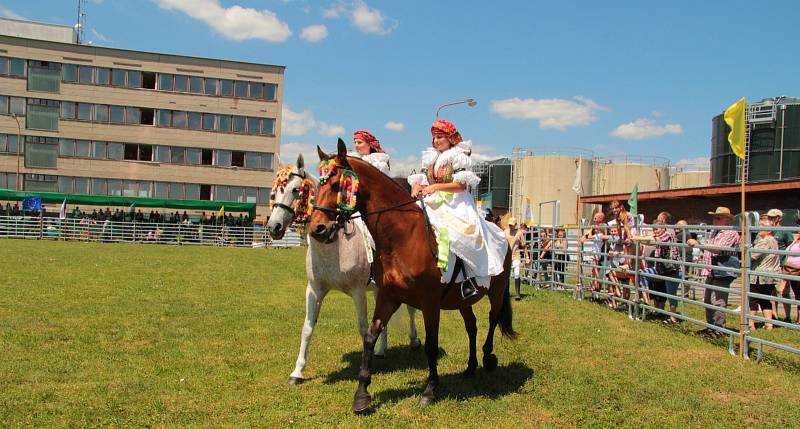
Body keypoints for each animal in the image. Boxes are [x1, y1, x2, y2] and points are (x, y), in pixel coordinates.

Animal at [268, 155, 422, 384]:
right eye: (274, 191)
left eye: (296, 189)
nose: (273, 227)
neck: (334, 246)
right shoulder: (314, 290)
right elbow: (307, 328)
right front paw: (297, 371)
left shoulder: (358, 293)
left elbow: (363, 328)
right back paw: (382, 350)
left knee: (411, 311)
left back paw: (414, 340)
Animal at [310, 140, 516, 412]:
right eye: (317, 185)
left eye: (336, 185)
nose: (317, 229)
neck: (403, 237)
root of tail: (501, 232)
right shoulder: (389, 297)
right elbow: (370, 337)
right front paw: (362, 394)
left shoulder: (430, 303)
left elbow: (430, 345)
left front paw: (430, 390)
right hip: (462, 300)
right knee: (471, 325)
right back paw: (471, 366)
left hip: (496, 292)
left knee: (492, 320)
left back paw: (488, 357)